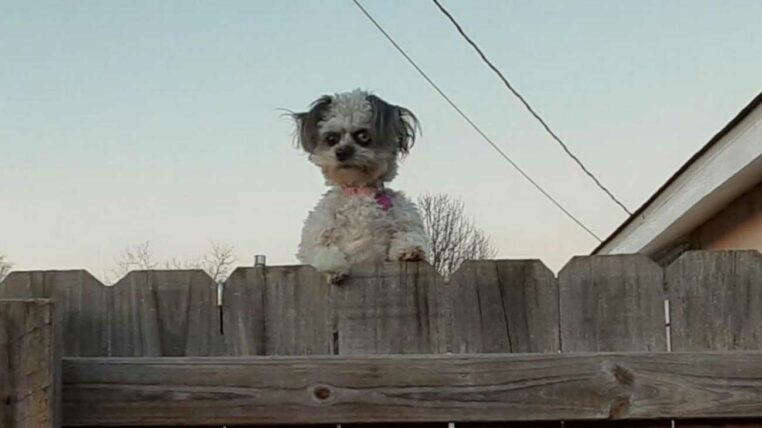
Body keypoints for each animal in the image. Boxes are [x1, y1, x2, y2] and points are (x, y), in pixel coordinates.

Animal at [292, 89, 428, 284]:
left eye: (363, 136)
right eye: (331, 138)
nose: (342, 152)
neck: (359, 190)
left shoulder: (405, 219)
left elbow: (409, 234)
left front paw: (410, 249)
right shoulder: (315, 235)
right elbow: (322, 250)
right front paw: (334, 267)